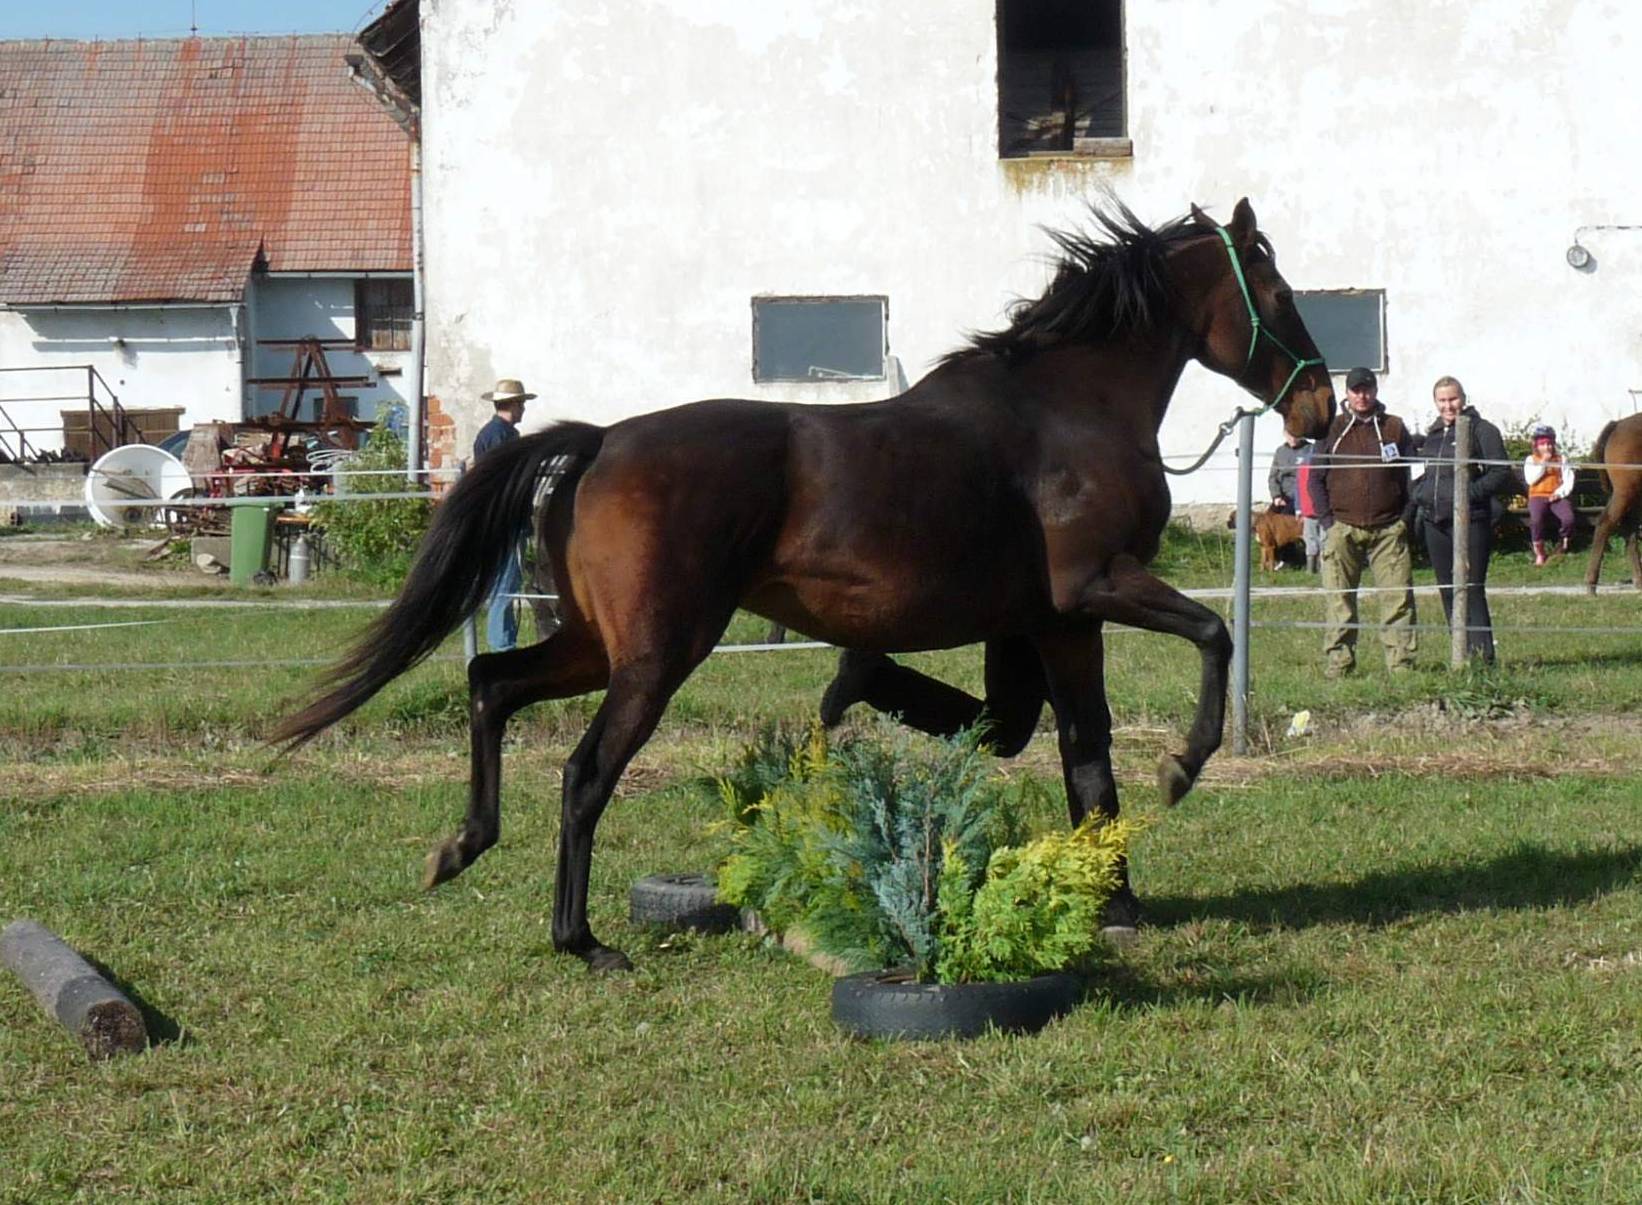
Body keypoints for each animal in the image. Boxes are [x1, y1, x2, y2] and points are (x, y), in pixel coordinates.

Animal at [274, 197, 1336, 973]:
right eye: (1280, 291)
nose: (1324, 404)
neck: (1065, 406)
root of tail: (602, 439)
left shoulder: (1047, 623)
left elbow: (1071, 751)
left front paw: (1113, 898)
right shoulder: (1093, 592)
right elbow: (1206, 644)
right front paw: (1183, 769)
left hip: (593, 644)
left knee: (490, 685)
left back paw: (462, 845)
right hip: (656, 655)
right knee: (582, 773)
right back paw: (582, 939)